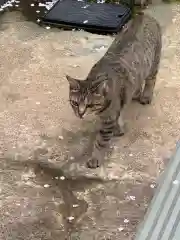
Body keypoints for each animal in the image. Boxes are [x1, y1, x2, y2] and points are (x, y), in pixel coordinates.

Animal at [66, 12, 162, 168]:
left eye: (89, 105)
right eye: (74, 103)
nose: (80, 114)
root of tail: (143, 15)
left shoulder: (108, 121)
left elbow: (101, 142)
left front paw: (95, 158)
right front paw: (119, 129)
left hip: (154, 62)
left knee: (151, 80)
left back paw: (146, 95)